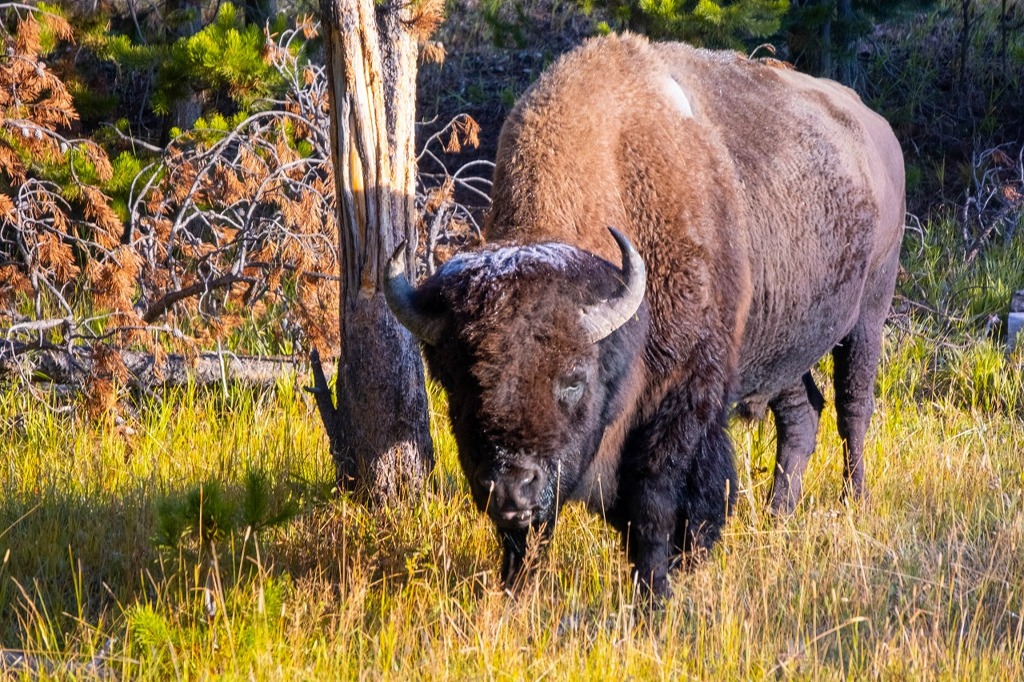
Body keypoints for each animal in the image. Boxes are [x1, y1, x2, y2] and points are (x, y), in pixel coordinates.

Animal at [382, 34, 905, 593]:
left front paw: (658, 588)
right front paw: (516, 590)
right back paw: (777, 516)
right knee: (802, 417)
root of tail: (877, 127)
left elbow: (656, 502)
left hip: (869, 313)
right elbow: (531, 535)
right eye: (458, 384)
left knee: (854, 407)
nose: (511, 489)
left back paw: (854, 501)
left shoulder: (681, 397)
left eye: (574, 380)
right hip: (781, 343)